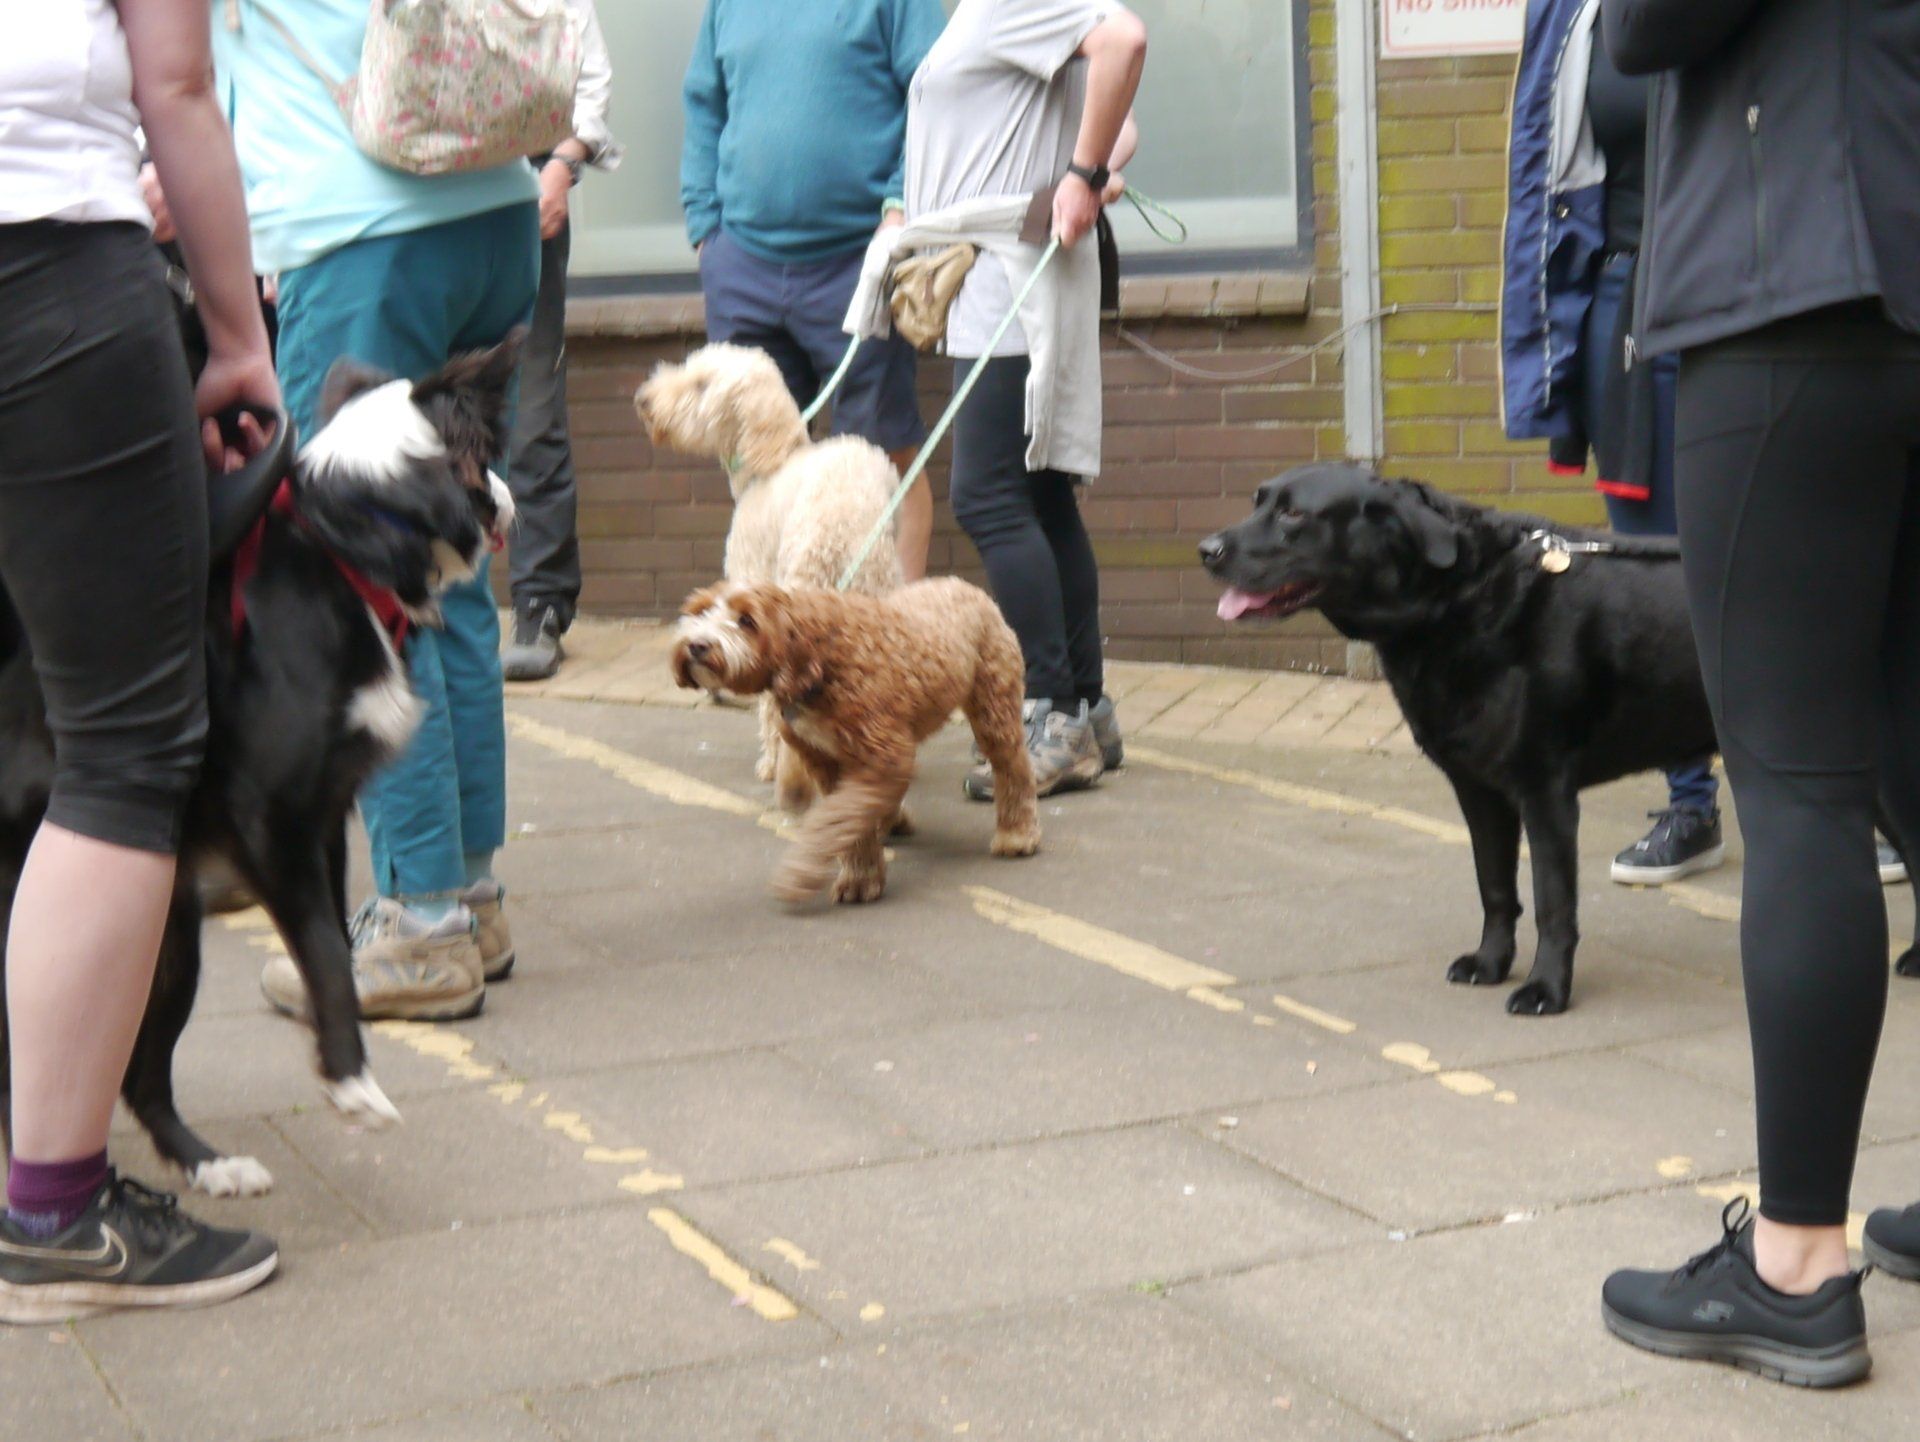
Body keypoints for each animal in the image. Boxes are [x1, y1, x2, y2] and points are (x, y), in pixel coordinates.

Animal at [672, 579, 1044, 902]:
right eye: (701, 611)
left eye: (747, 620)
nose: (697, 645)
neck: (818, 661)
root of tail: (965, 586)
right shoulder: (827, 762)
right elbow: (848, 823)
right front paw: (861, 876)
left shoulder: (882, 758)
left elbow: (834, 822)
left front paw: (805, 873)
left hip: (994, 708)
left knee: (1013, 767)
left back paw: (1017, 834)